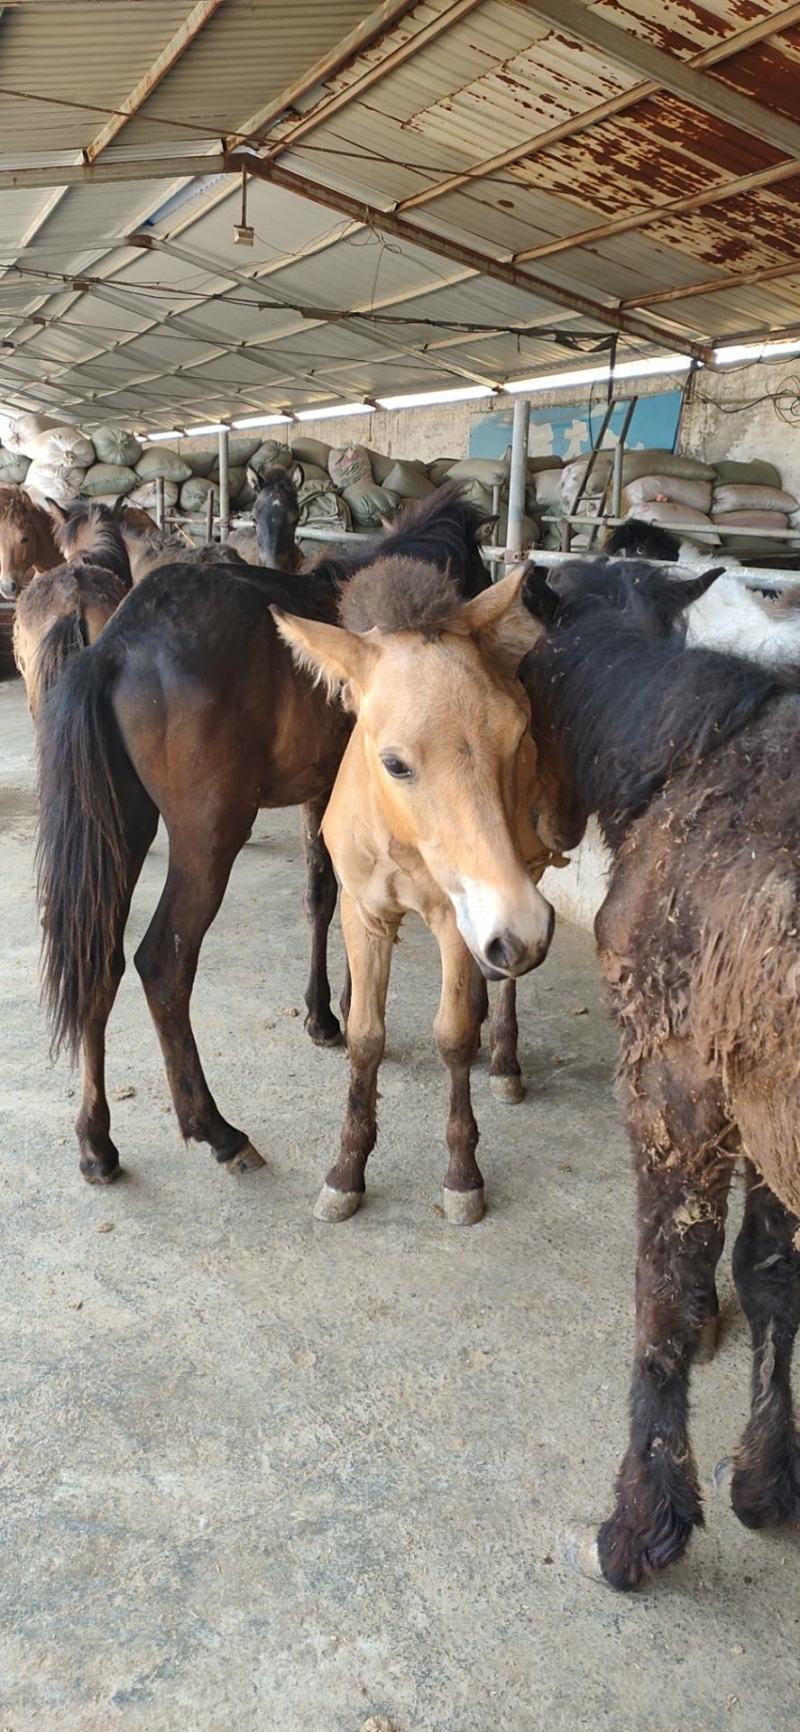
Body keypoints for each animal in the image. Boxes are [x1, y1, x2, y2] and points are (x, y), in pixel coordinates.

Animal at [35, 486, 492, 1187]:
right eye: (482, 564)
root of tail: (111, 647)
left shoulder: (323, 796)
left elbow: (323, 895)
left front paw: (329, 1013)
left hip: (123, 834)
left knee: (99, 961)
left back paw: (96, 1142)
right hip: (208, 838)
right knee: (162, 963)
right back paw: (217, 1130)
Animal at [274, 561, 554, 1225]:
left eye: (516, 736)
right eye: (396, 763)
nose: (523, 930)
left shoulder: (460, 918)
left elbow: (452, 1036)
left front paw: (462, 1175)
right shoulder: (366, 915)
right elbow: (365, 1039)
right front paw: (347, 1170)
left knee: (500, 988)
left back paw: (503, 1060)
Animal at [521, 554, 800, 1590]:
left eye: (525, 678)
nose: (550, 828)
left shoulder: (677, 1084)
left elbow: (669, 1290)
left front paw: (644, 1518)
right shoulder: (751, 1098)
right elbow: (769, 1276)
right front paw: (766, 1479)